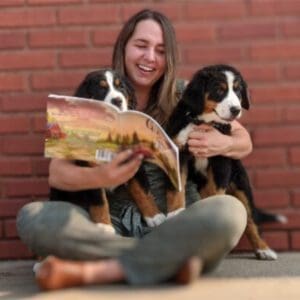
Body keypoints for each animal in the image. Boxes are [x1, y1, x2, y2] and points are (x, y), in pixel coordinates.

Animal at [166, 63, 286, 260]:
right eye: (219, 90)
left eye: (237, 90)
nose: (236, 110)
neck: (204, 123)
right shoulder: (179, 153)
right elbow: (178, 189)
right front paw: (175, 213)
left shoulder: (221, 158)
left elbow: (216, 193)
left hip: (241, 185)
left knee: (251, 219)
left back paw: (264, 249)